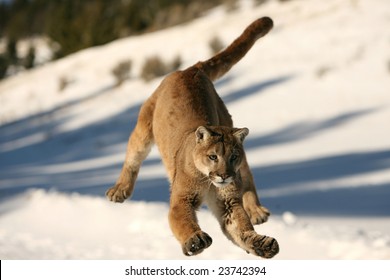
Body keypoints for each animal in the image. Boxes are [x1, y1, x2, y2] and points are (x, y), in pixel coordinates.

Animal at [105, 17, 278, 258]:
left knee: (247, 174)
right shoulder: (181, 200)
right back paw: (119, 190)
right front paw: (195, 239)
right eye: (213, 156)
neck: (208, 181)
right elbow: (183, 221)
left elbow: (241, 227)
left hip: (230, 129)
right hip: (143, 129)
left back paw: (256, 210)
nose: (224, 175)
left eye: (232, 156)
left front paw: (261, 243)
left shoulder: (228, 203)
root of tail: (190, 69)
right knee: (132, 157)